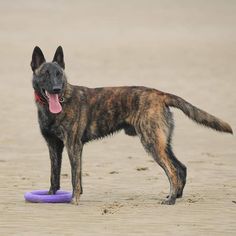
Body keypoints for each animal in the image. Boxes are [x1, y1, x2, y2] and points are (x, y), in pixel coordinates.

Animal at [30, 46, 232, 205]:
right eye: (45, 74)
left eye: (59, 74)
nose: (57, 89)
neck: (58, 105)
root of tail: (160, 94)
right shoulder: (54, 146)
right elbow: (54, 174)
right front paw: (51, 195)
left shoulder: (74, 146)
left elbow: (74, 177)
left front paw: (74, 200)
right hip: (162, 143)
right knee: (181, 167)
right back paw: (176, 195)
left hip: (152, 143)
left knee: (173, 170)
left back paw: (171, 199)